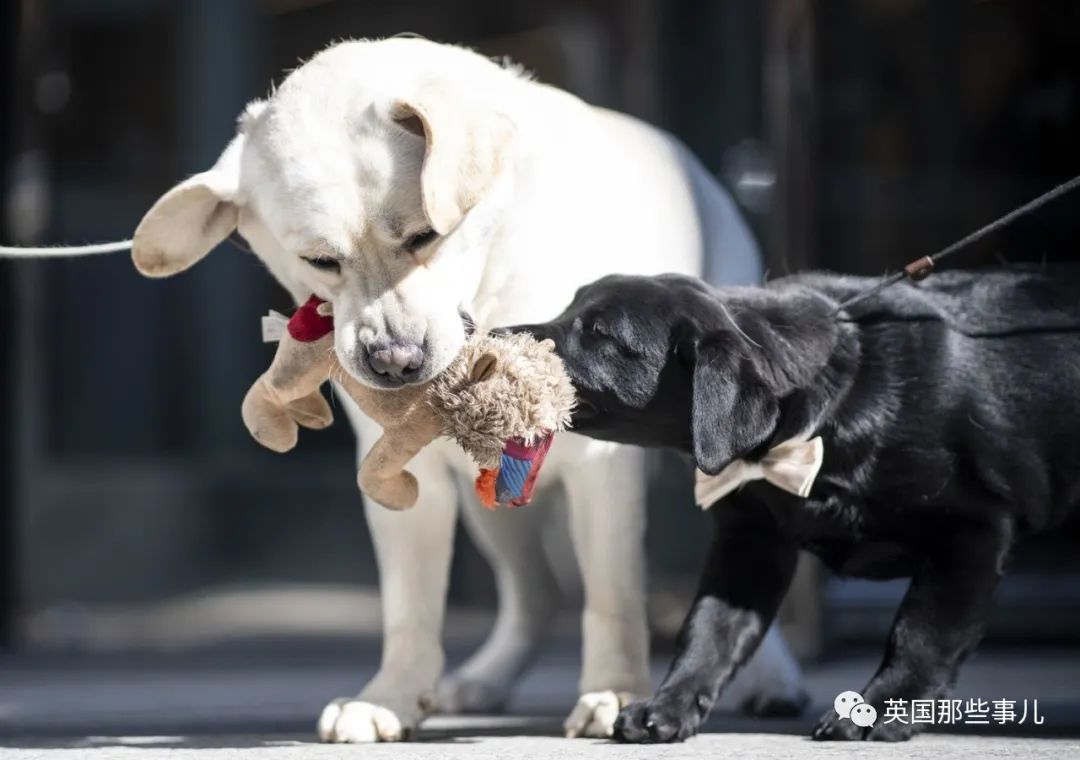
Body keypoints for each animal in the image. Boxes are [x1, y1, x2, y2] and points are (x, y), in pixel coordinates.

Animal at [509, 267, 1080, 742]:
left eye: (600, 332)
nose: (496, 334)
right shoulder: (751, 543)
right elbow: (708, 632)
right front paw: (669, 706)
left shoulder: (972, 528)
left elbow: (920, 632)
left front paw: (880, 709)